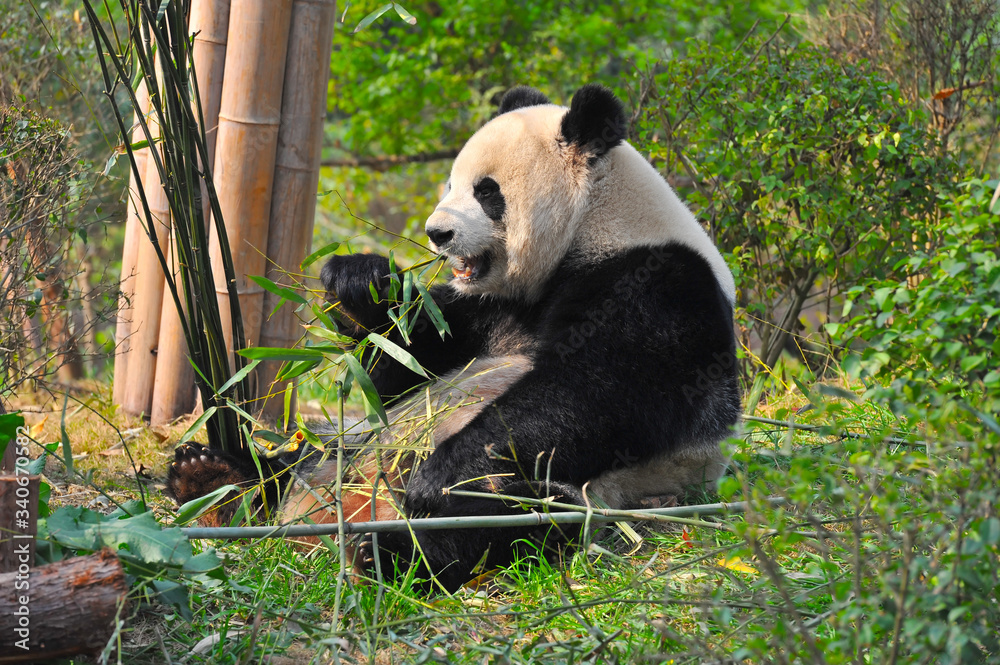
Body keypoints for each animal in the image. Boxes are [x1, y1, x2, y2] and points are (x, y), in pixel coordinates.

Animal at [167, 83, 740, 593]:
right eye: (451, 185)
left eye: (486, 192)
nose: (437, 233)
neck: (595, 222)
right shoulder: (489, 308)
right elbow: (404, 365)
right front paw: (359, 283)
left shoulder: (657, 283)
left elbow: (597, 392)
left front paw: (434, 475)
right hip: (352, 447)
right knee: (305, 457)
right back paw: (215, 479)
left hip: (598, 491)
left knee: (513, 511)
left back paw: (387, 552)